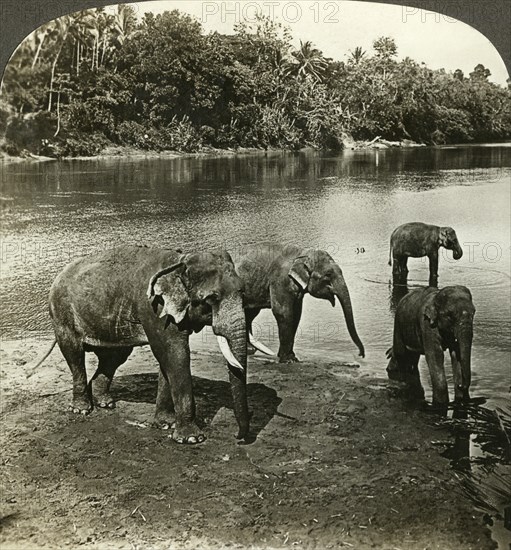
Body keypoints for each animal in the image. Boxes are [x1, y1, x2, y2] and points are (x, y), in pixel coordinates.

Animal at [44, 248, 250, 446]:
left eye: (242, 292)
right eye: (212, 298)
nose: (238, 437)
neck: (180, 261)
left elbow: (166, 358)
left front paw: (166, 424)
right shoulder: (153, 309)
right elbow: (174, 354)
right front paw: (191, 439)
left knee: (114, 357)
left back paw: (105, 403)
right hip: (62, 314)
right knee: (74, 354)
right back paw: (81, 409)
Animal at [234, 244, 366, 364]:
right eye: (328, 275)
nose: (361, 355)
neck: (302, 253)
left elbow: (296, 314)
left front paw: (292, 357)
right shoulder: (280, 281)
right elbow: (283, 313)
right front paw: (287, 360)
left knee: (249, 314)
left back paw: (250, 350)